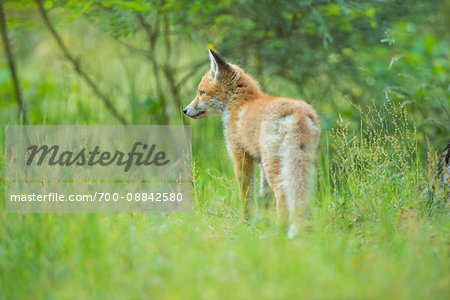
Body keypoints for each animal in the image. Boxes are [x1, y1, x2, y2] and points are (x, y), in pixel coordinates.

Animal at [183, 49, 320, 238]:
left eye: (201, 92)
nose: (184, 110)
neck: (240, 104)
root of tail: (299, 112)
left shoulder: (241, 157)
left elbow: (246, 196)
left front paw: (246, 224)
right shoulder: (259, 163)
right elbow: (264, 198)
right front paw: (261, 223)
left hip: (274, 164)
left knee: (282, 193)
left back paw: (281, 231)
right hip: (302, 163)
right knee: (300, 194)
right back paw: (304, 230)